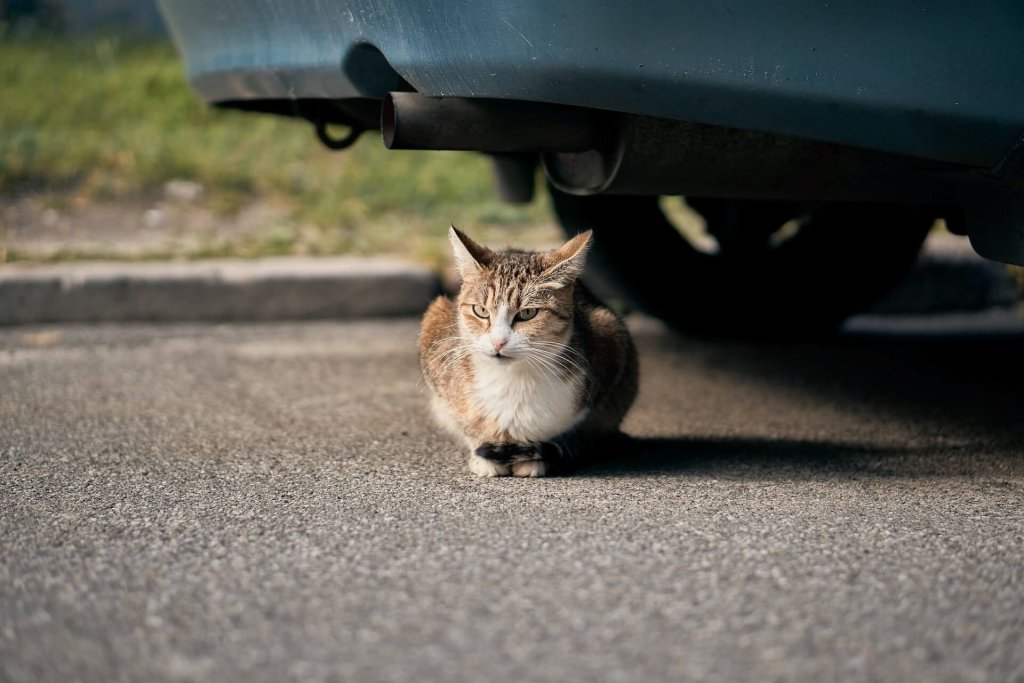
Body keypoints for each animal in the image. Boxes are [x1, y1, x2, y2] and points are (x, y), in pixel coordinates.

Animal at [419, 227, 634, 479]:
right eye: (480, 311)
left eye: (528, 313)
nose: (498, 342)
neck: (513, 379)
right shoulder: (435, 332)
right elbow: (468, 426)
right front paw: (482, 456)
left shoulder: (610, 340)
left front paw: (536, 458)